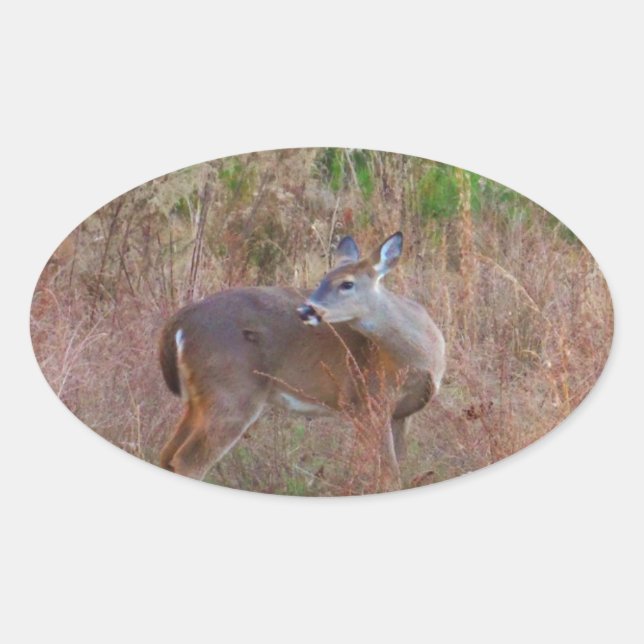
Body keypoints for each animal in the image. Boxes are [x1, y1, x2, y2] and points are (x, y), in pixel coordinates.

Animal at [158, 232, 445, 491]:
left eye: (347, 283)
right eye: (323, 279)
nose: (306, 309)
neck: (421, 357)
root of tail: (179, 323)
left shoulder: (401, 414)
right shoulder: (368, 401)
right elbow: (388, 476)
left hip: (199, 398)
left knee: (167, 454)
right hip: (232, 392)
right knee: (187, 461)